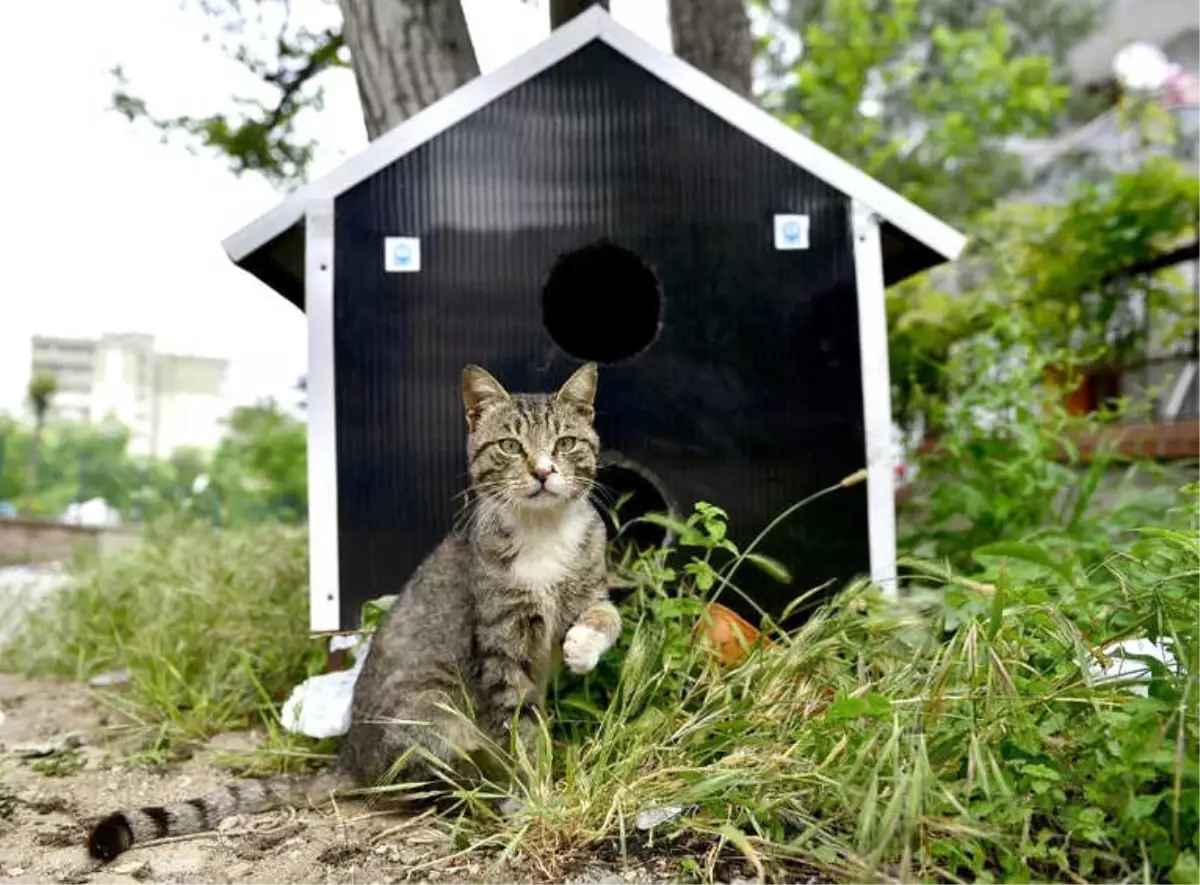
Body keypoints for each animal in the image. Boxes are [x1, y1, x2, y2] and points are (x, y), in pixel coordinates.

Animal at [88, 362, 624, 858]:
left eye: (566, 442)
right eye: (511, 446)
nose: (543, 471)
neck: (543, 531)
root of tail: (348, 758)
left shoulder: (588, 587)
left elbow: (608, 616)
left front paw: (582, 648)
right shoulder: (500, 647)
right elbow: (520, 728)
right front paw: (533, 795)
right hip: (434, 709)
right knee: (422, 784)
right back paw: (479, 793)